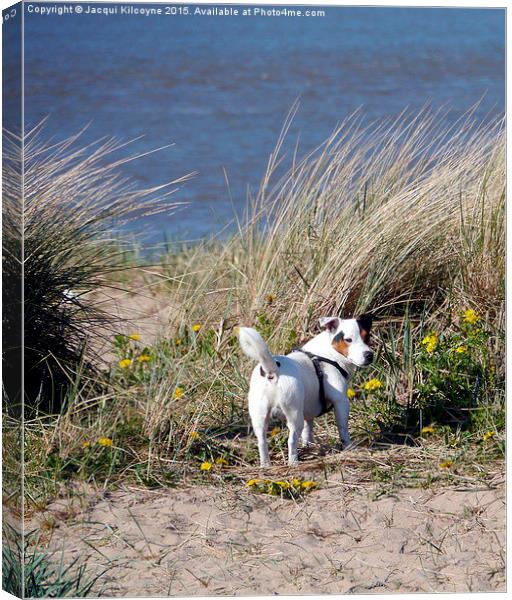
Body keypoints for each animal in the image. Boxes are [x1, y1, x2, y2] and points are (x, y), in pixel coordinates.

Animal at [238, 316, 374, 466]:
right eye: (348, 340)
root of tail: (272, 371)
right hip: (294, 415)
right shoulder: (341, 402)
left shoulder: (308, 412)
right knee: (291, 441)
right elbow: (343, 428)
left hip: (259, 417)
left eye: (366, 336)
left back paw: (266, 465)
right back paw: (293, 463)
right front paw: (349, 447)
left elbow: (308, 432)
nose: (369, 355)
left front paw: (309, 447)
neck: (328, 354)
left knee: (262, 442)